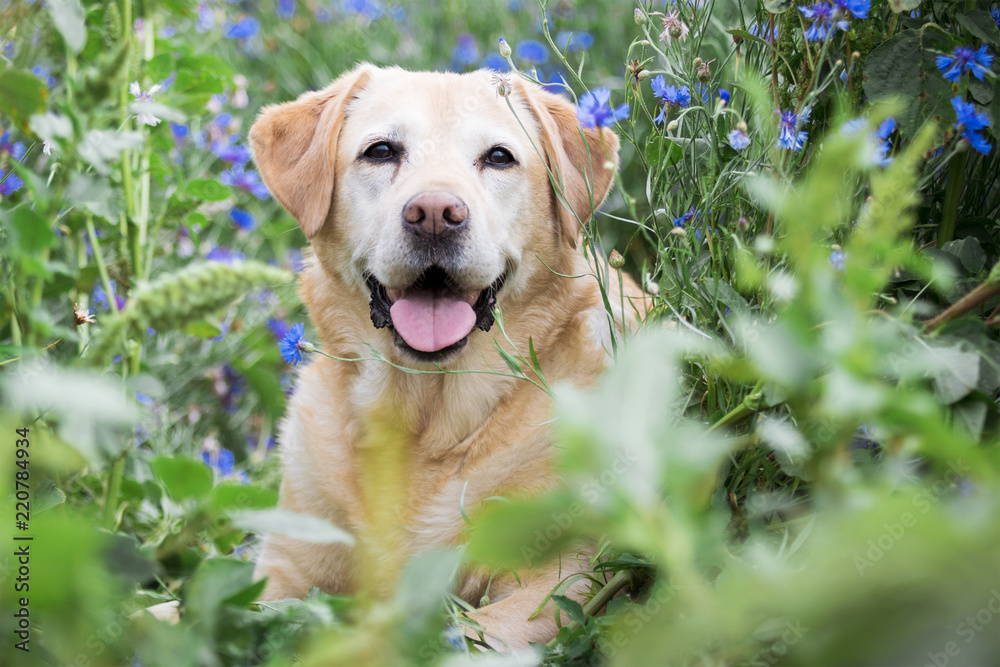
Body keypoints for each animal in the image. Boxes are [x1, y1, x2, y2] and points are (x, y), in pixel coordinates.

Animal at [247, 65, 644, 648]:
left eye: (498, 157)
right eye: (381, 151)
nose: (435, 213)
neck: (426, 421)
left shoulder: (560, 581)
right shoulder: (283, 572)